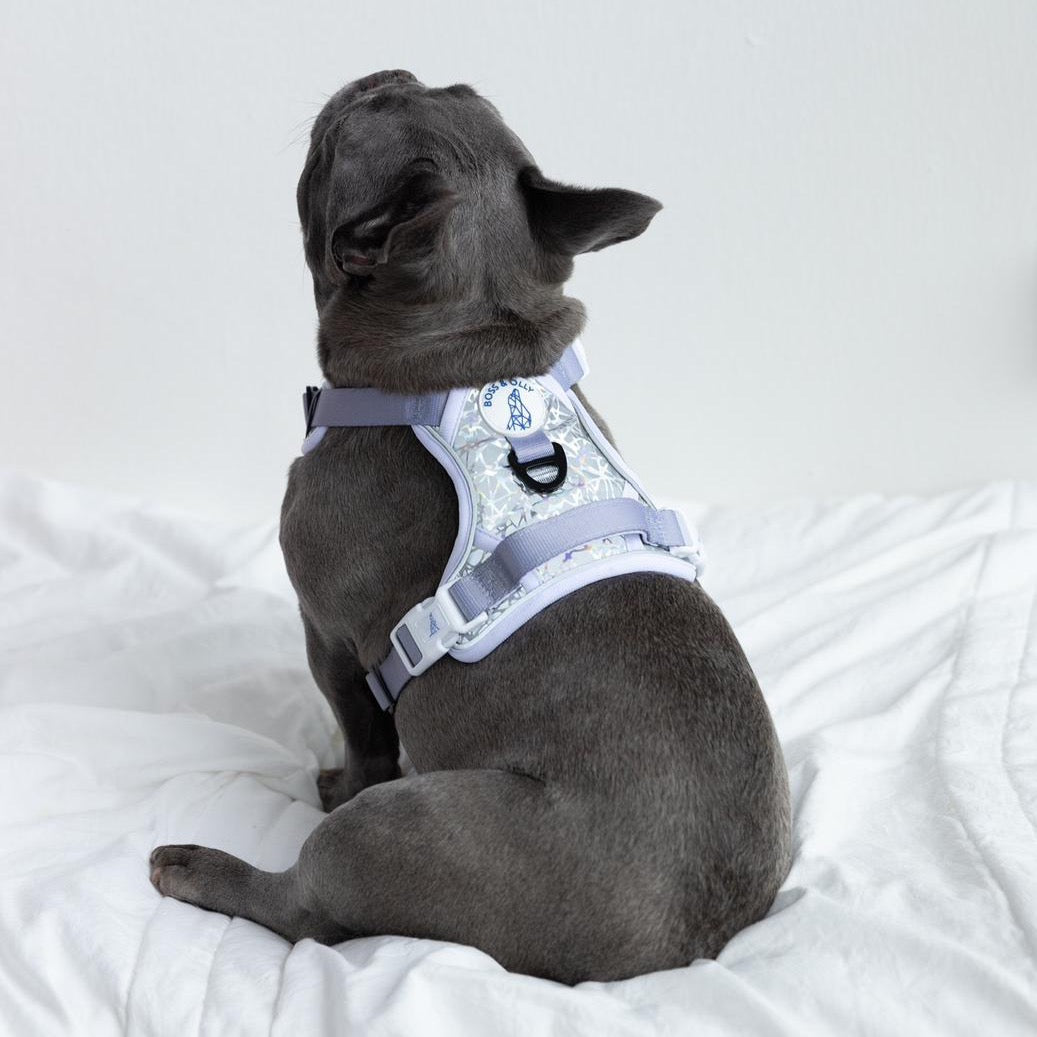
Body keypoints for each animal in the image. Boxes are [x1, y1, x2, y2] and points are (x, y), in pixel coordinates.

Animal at [149, 69, 792, 985]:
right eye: (450, 87)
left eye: (350, 127)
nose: (383, 73)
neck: (473, 351)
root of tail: (684, 951)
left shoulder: (328, 638)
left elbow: (364, 733)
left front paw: (340, 772)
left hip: (385, 831)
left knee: (306, 910)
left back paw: (199, 867)